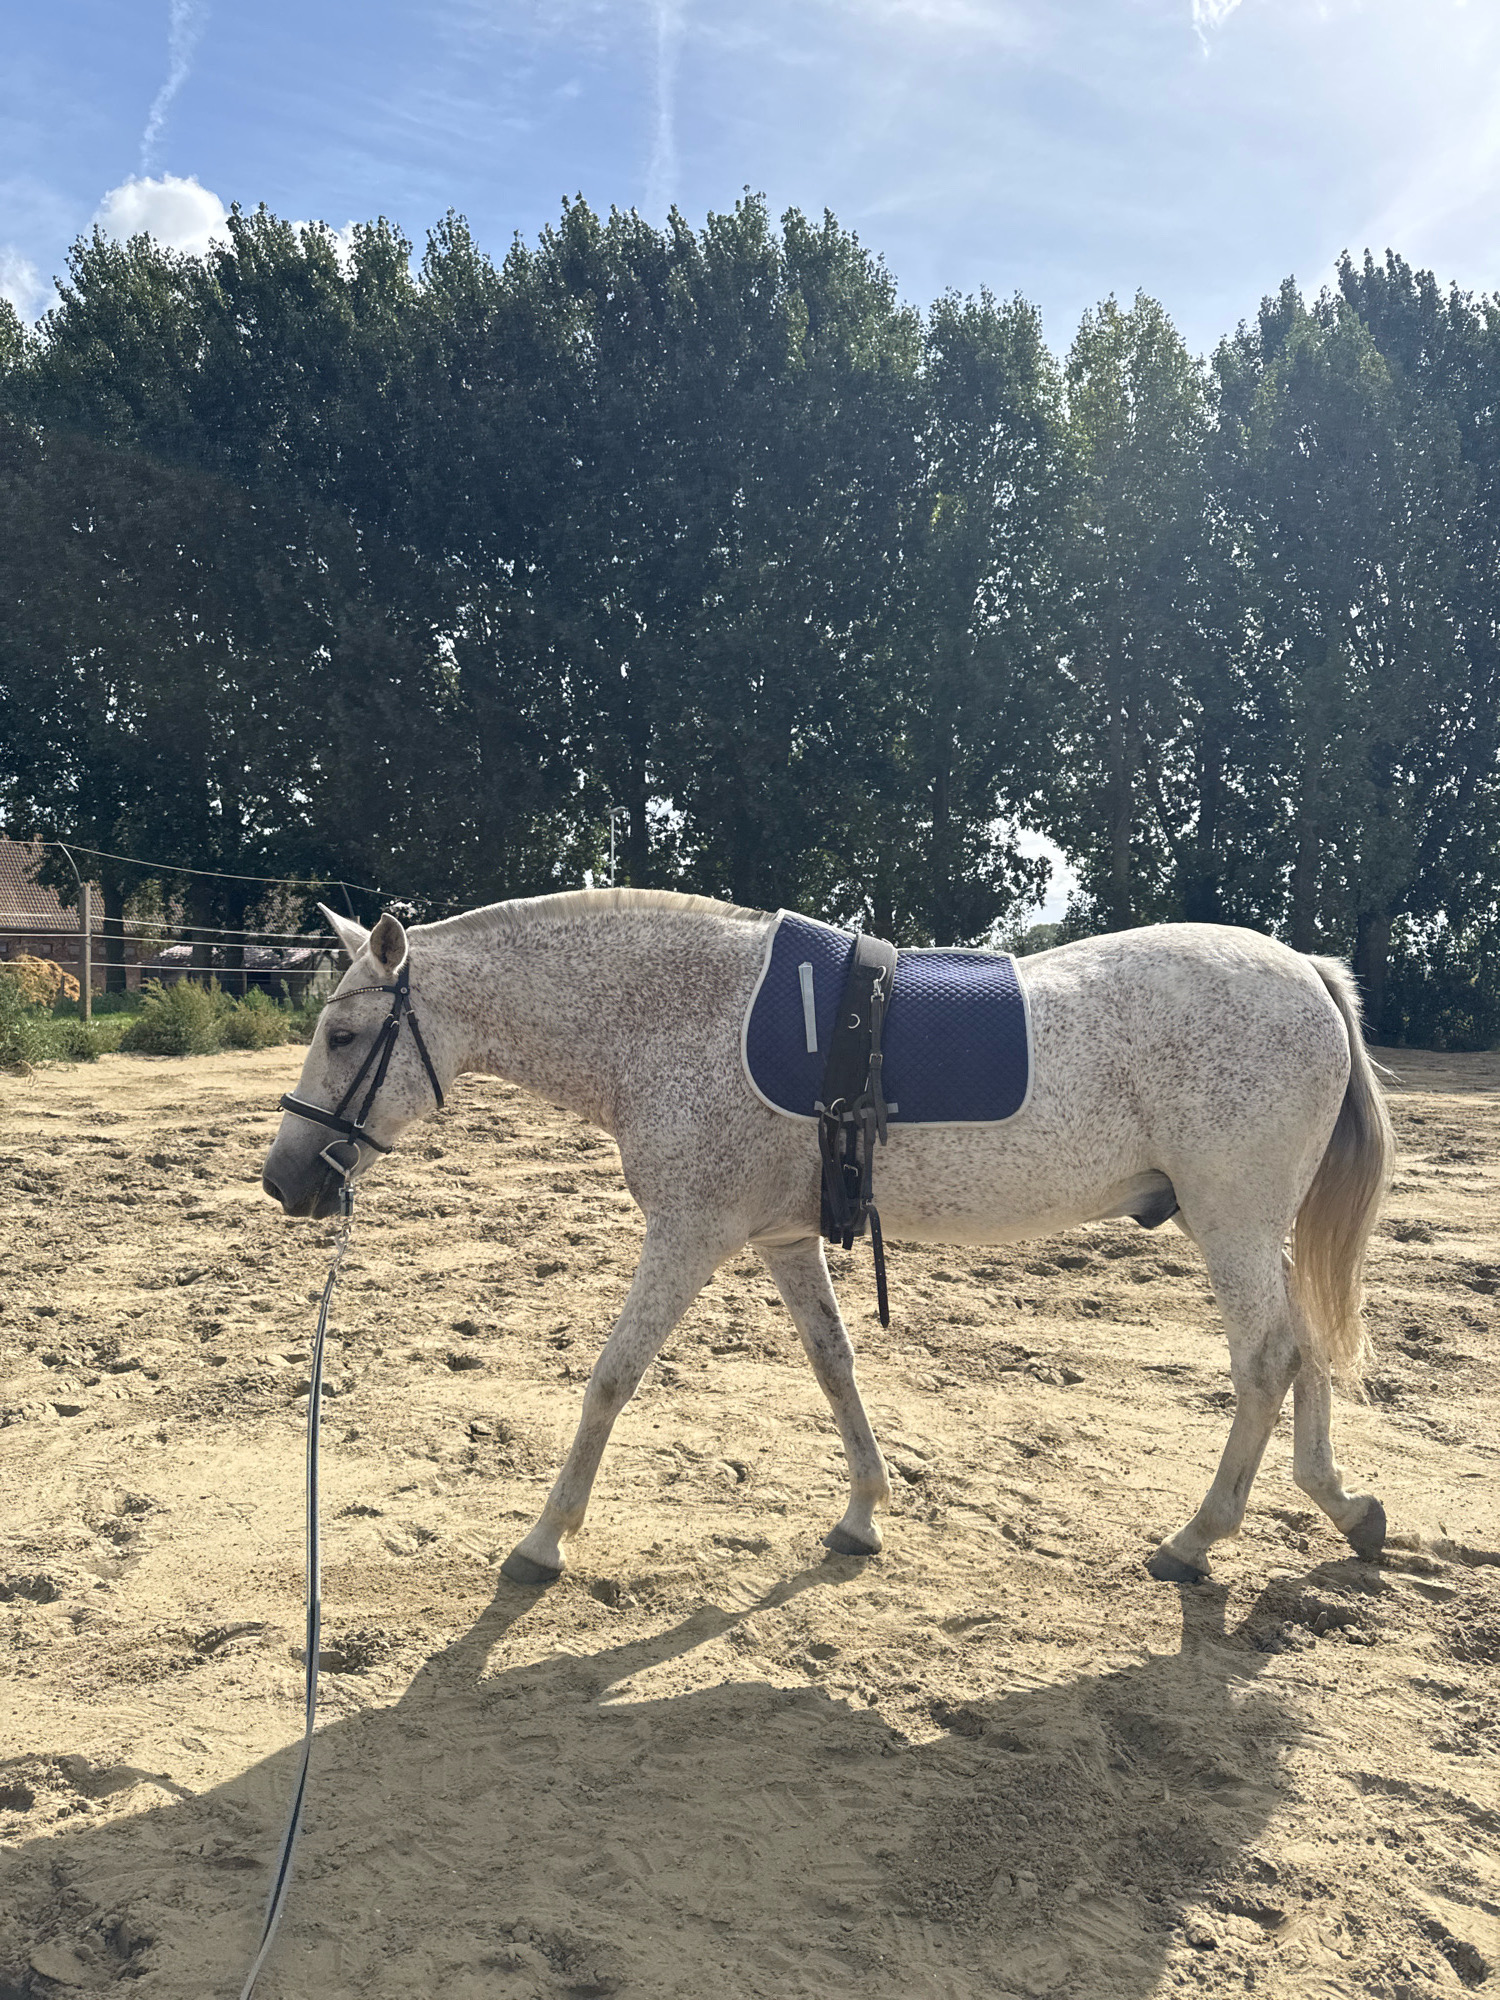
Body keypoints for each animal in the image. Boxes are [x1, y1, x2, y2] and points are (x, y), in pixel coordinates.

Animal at [260, 889, 1394, 1589]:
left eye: (345, 1035)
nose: (284, 1179)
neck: (679, 1020)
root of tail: (1306, 970)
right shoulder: (783, 1240)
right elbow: (834, 1364)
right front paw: (864, 1511)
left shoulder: (689, 1234)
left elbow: (611, 1378)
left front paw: (544, 1540)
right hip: (1250, 1225)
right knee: (1306, 1350)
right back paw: (1342, 1504)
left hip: (1231, 1219)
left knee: (1267, 1359)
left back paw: (1198, 1538)